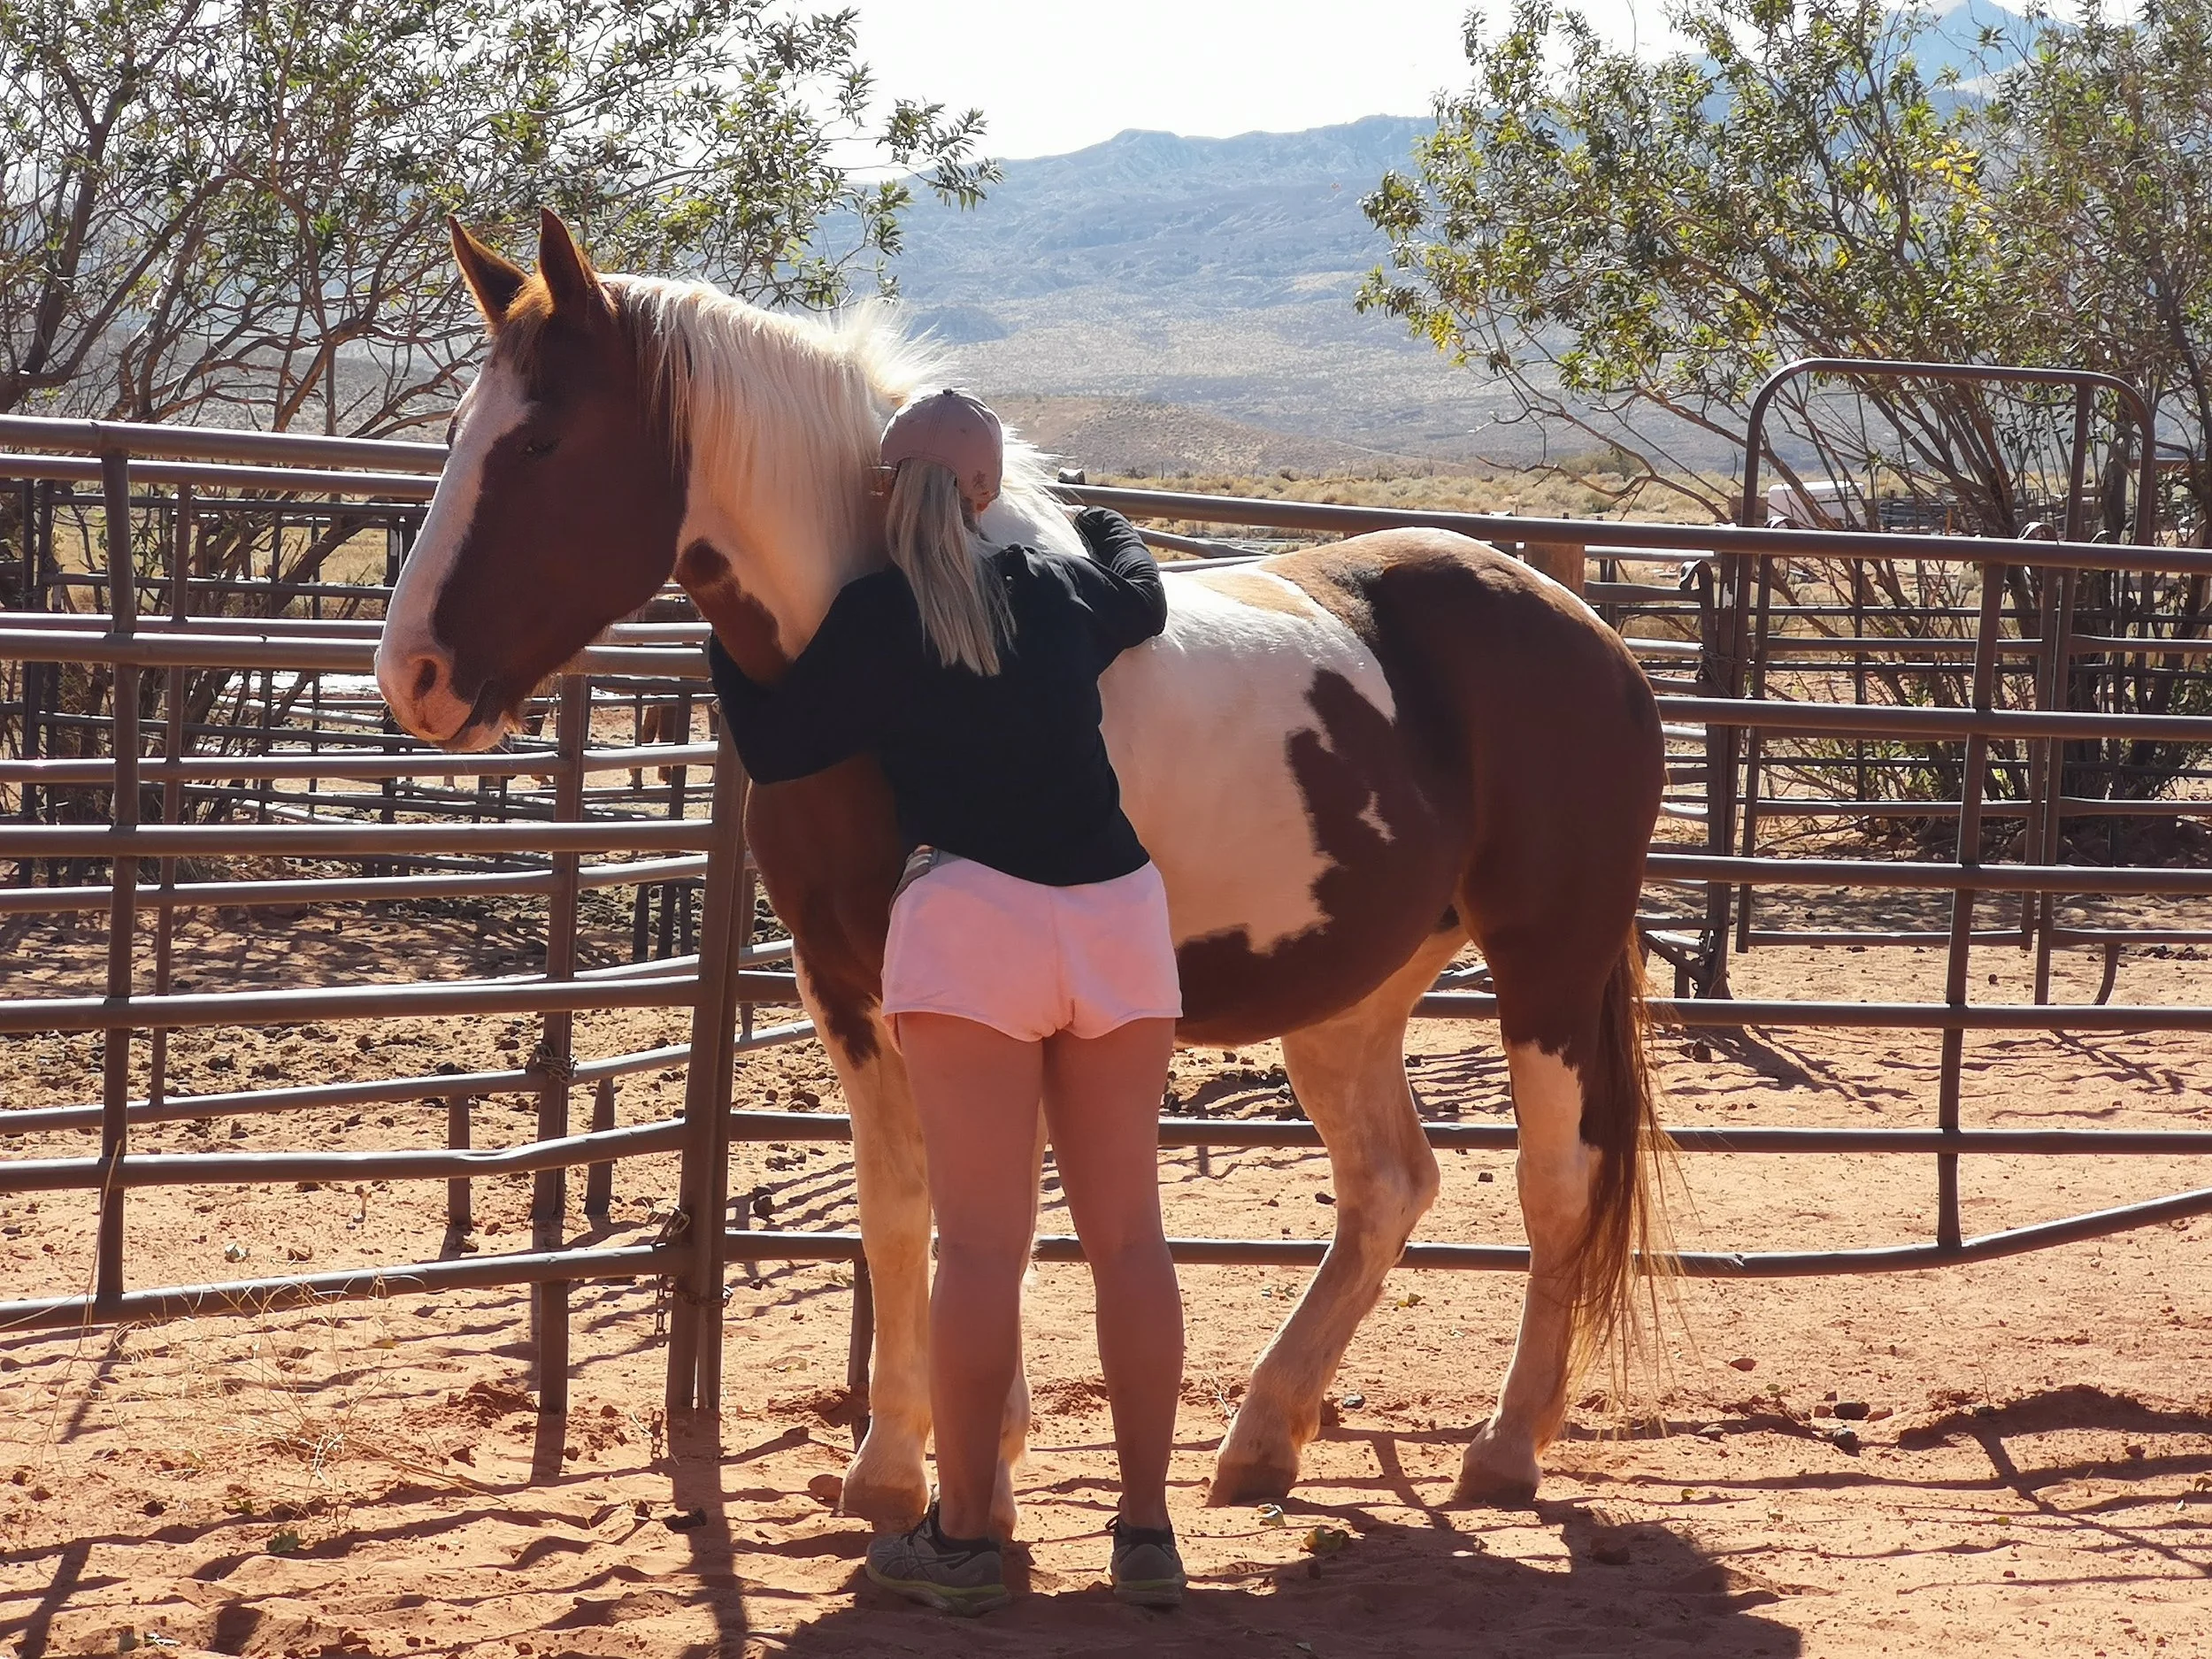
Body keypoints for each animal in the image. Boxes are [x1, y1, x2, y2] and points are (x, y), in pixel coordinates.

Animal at [375, 211, 1668, 1527]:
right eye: (461, 429)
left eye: (540, 438)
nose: (411, 676)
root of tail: (1583, 625)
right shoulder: (848, 992)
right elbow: (905, 1214)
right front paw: (893, 1466)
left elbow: (979, 1215)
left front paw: (981, 1461)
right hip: (1350, 990)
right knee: (1387, 1186)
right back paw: (1263, 1435)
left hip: (1547, 964)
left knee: (1555, 1181)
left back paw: (1504, 1447)